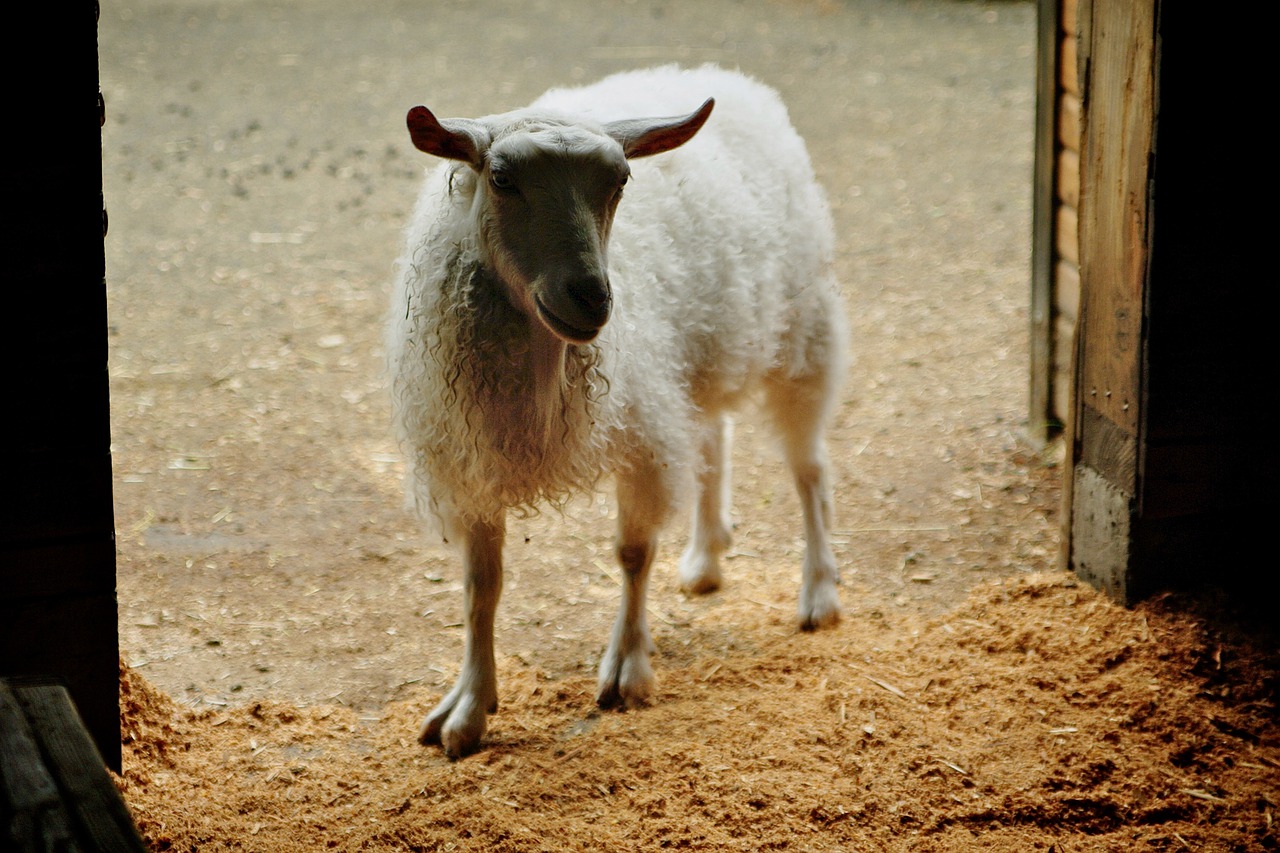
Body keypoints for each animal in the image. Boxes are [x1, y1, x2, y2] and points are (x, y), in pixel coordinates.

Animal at [389, 66, 849, 758]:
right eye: (501, 178)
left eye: (622, 180)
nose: (592, 296)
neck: (543, 360)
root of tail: (726, 79)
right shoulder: (473, 457)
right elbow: (481, 587)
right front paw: (468, 706)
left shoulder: (642, 434)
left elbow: (633, 554)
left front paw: (626, 669)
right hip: (699, 355)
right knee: (712, 437)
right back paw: (707, 557)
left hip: (801, 335)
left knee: (809, 471)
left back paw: (818, 591)